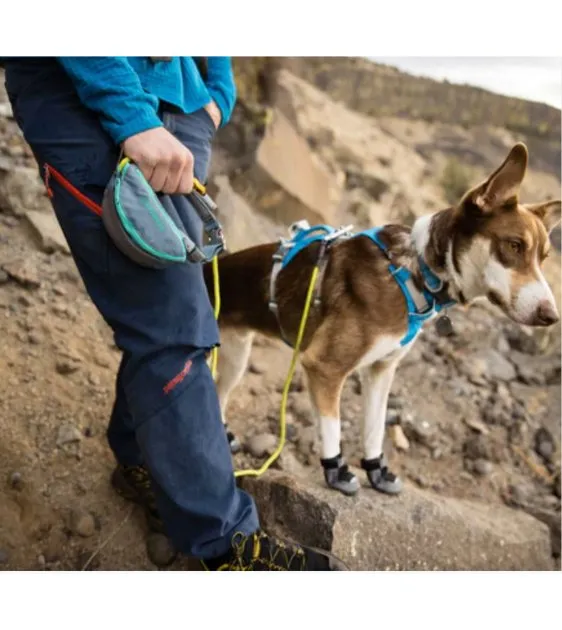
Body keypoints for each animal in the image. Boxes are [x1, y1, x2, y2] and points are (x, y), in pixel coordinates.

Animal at [203, 144, 556, 498]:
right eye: (514, 245)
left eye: (544, 258)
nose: (551, 316)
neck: (413, 271)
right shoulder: (324, 367)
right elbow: (333, 426)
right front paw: (336, 471)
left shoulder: (381, 370)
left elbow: (375, 427)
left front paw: (377, 471)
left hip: (236, 357)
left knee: (219, 392)